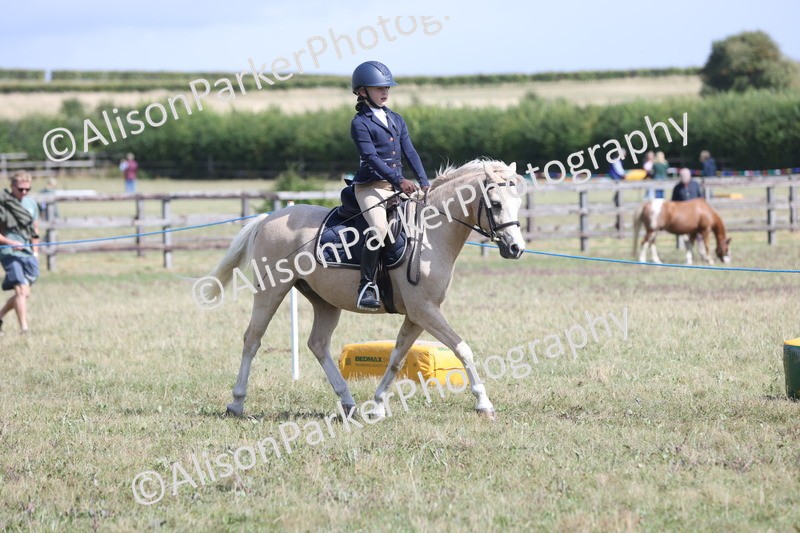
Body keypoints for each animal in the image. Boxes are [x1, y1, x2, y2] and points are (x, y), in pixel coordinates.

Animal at [201, 159, 526, 420]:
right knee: (252, 340)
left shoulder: (417, 315)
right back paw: (236, 403)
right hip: (271, 291)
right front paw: (484, 403)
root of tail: (267, 219)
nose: (516, 249)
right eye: (496, 204)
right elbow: (463, 349)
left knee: (318, 344)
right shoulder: (425, 310)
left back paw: (348, 402)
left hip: (324, 301)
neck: (430, 234)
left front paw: (378, 405)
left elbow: (396, 358)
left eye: (518, 203)